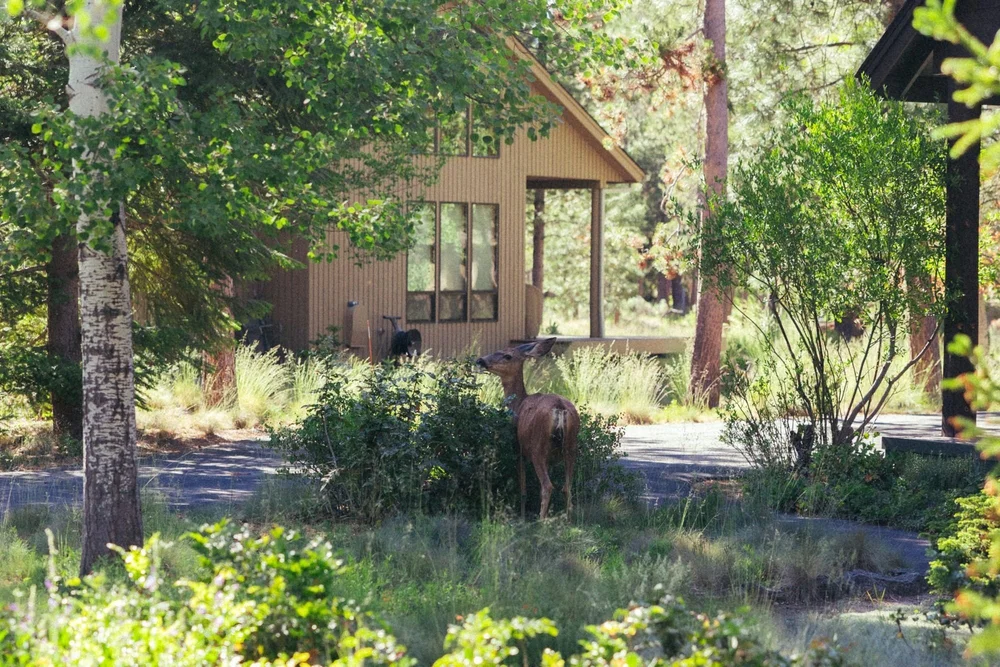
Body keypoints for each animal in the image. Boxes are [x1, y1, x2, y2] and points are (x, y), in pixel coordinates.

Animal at [475, 338, 579, 520]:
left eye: (507, 356)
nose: (481, 360)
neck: (517, 405)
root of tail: (559, 408)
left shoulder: (518, 448)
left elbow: (522, 488)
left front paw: (522, 517)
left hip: (538, 447)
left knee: (547, 486)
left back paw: (541, 521)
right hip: (571, 447)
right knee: (567, 487)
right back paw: (568, 521)